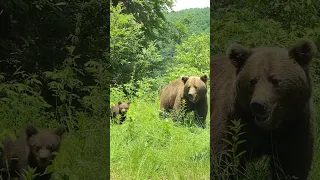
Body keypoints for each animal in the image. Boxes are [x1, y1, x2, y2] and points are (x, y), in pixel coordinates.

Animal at [210, 38, 318, 179]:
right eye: (252, 81)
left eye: (275, 80)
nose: (258, 105)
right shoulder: (233, 118)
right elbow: (223, 158)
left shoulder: (295, 123)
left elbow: (292, 163)